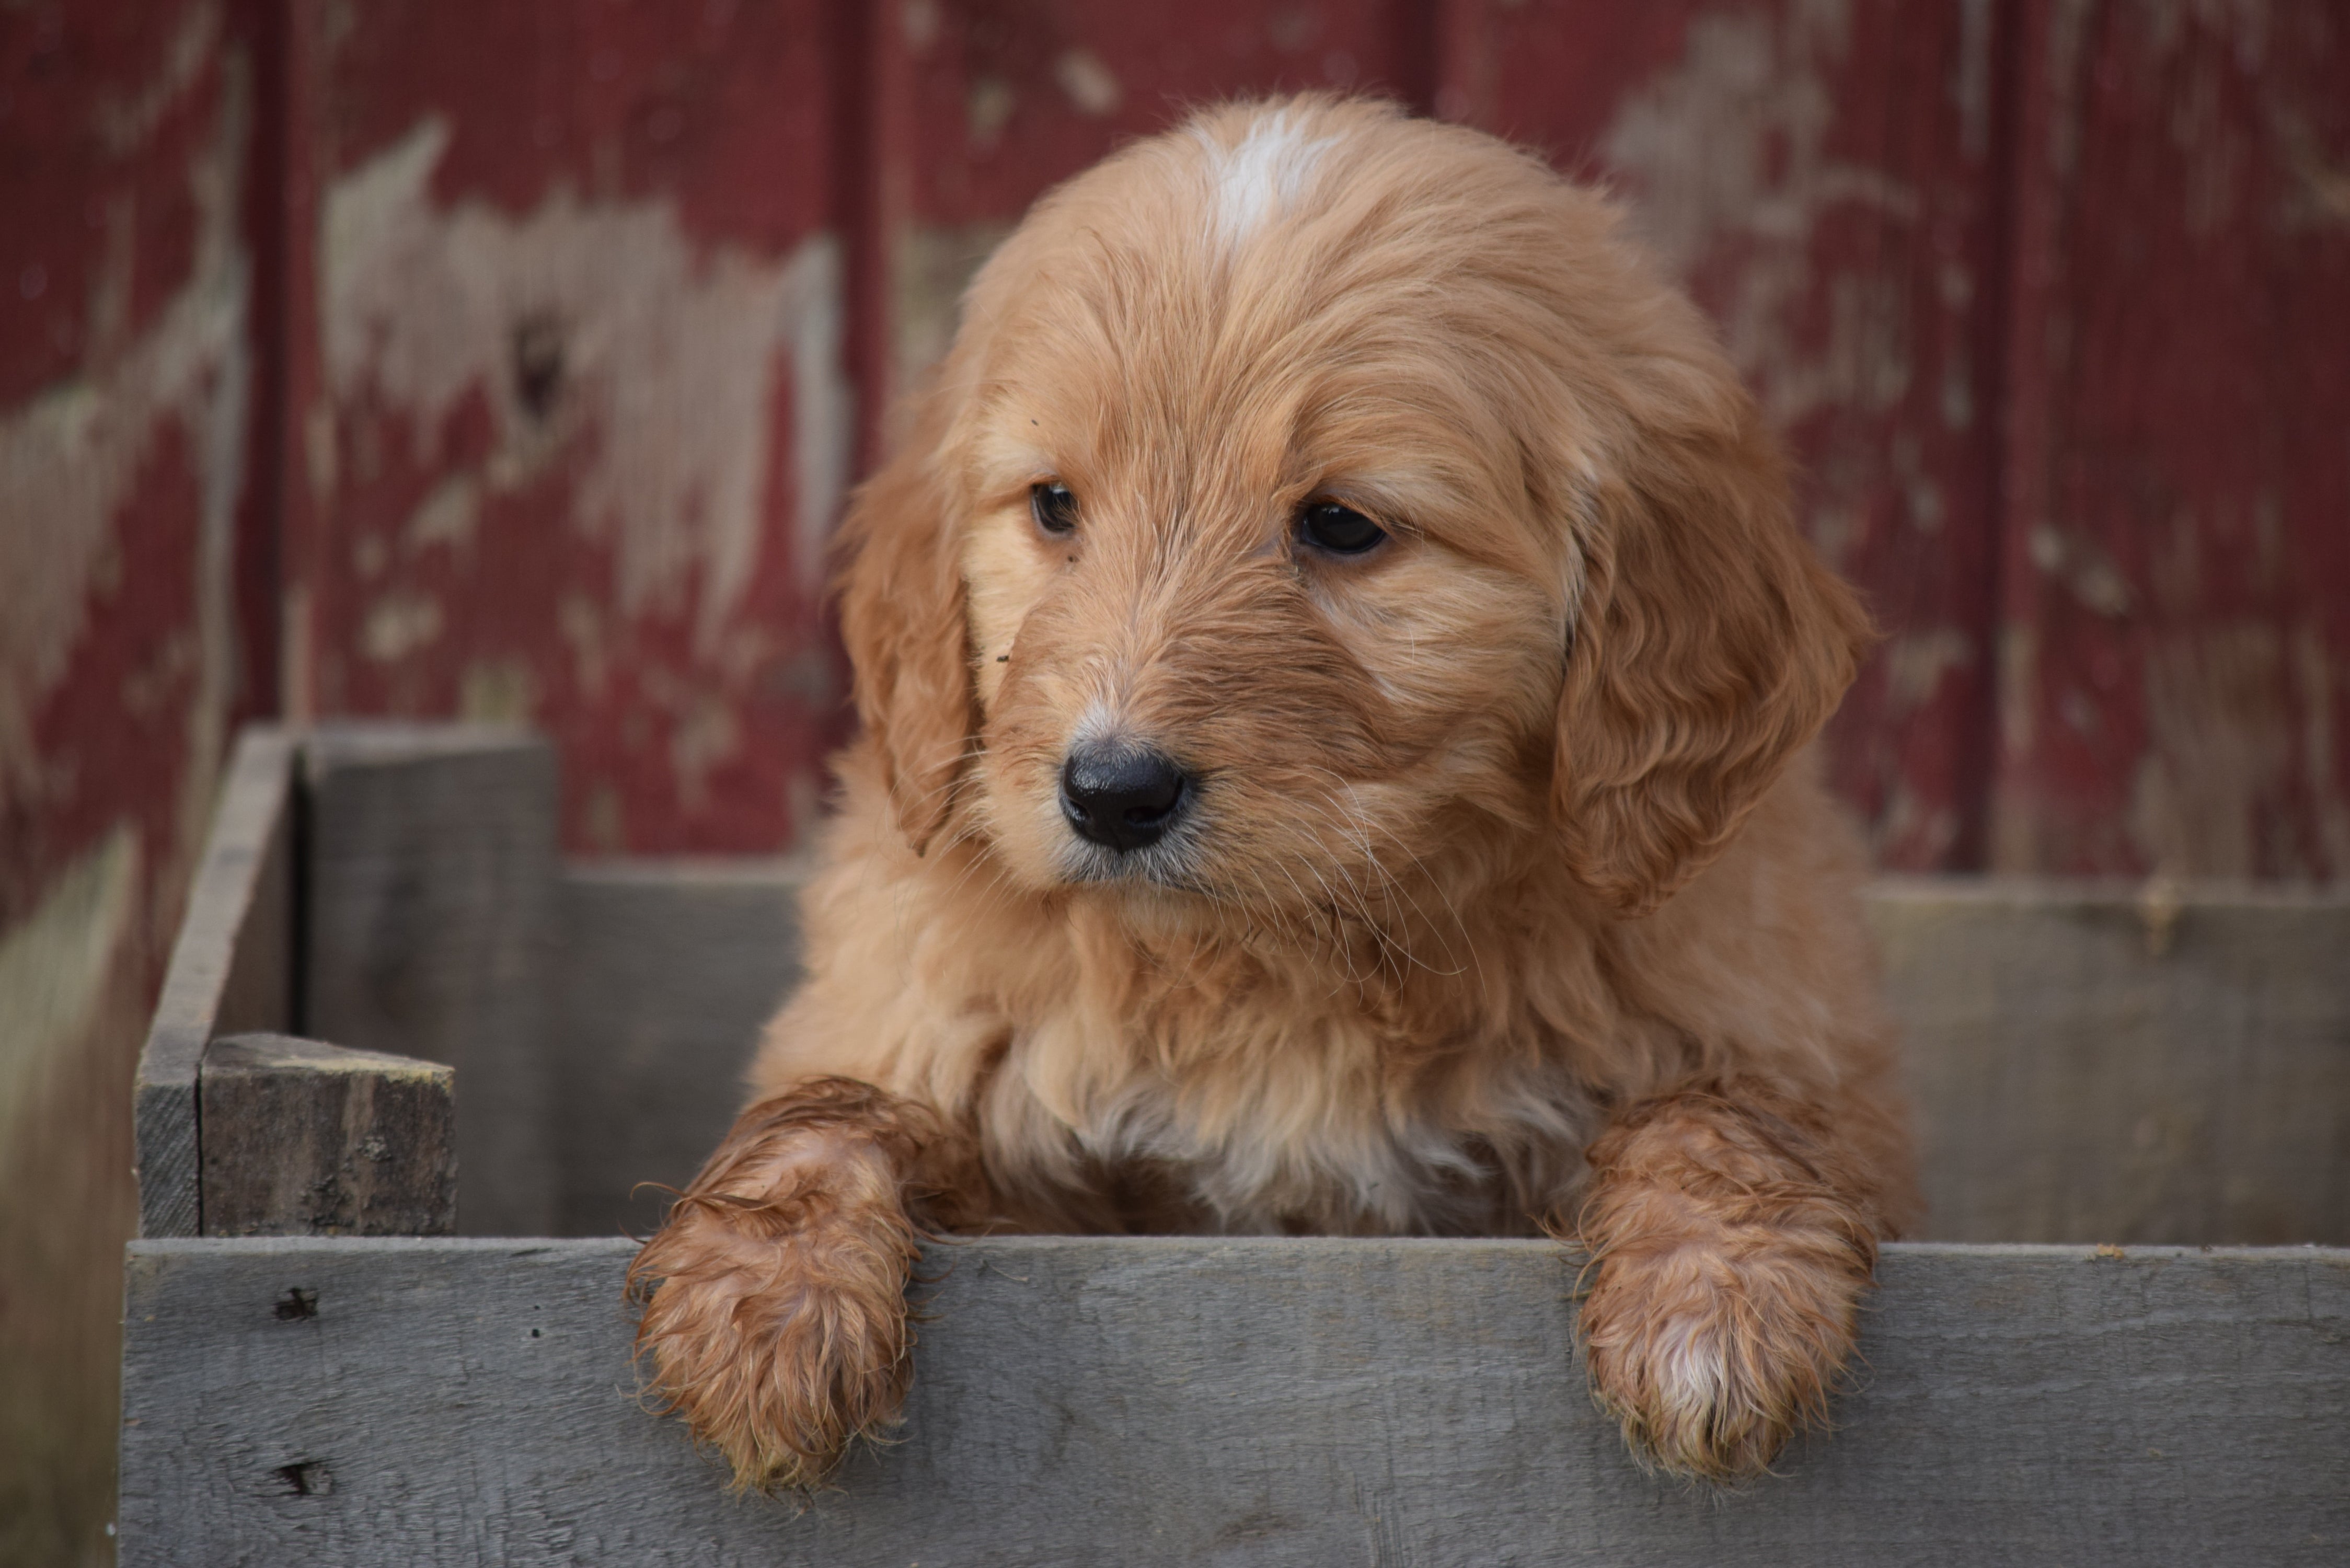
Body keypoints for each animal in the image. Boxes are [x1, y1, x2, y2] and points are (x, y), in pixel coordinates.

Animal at [625, 95, 1908, 1495]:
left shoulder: (1774, 1029)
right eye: (1055, 506)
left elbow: (1723, 1106)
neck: (1270, 963)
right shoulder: (935, 1043)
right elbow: (836, 1110)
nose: (1110, 792)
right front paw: (762, 1299)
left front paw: (1717, 1297)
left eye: (1343, 525)